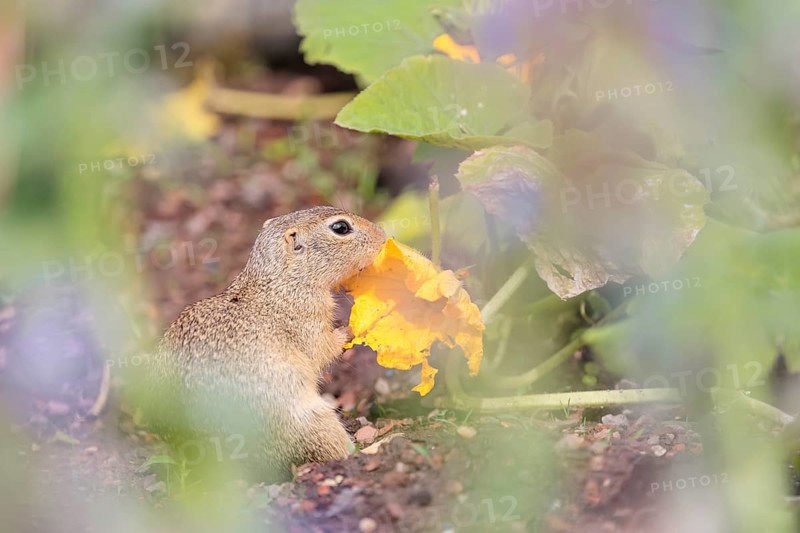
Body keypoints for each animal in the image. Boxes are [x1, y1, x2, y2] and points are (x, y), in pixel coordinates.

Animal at [141, 206, 386, 481]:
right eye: (341, 228)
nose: (383, 235)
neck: (282, 281)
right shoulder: (306, 322)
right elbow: (323, 349)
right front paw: (352, 328)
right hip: (315, 423)